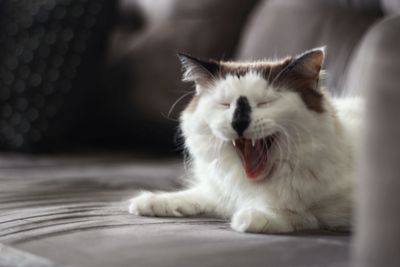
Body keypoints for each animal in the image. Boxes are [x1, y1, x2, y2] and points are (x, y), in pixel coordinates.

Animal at [128, 48, 362, 234]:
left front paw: (250, 217)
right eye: (225, 104)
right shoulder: (221, 192)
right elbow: (195, 195)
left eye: (265, 103)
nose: (238, 122)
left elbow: (307, 214)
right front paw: (149, 202)